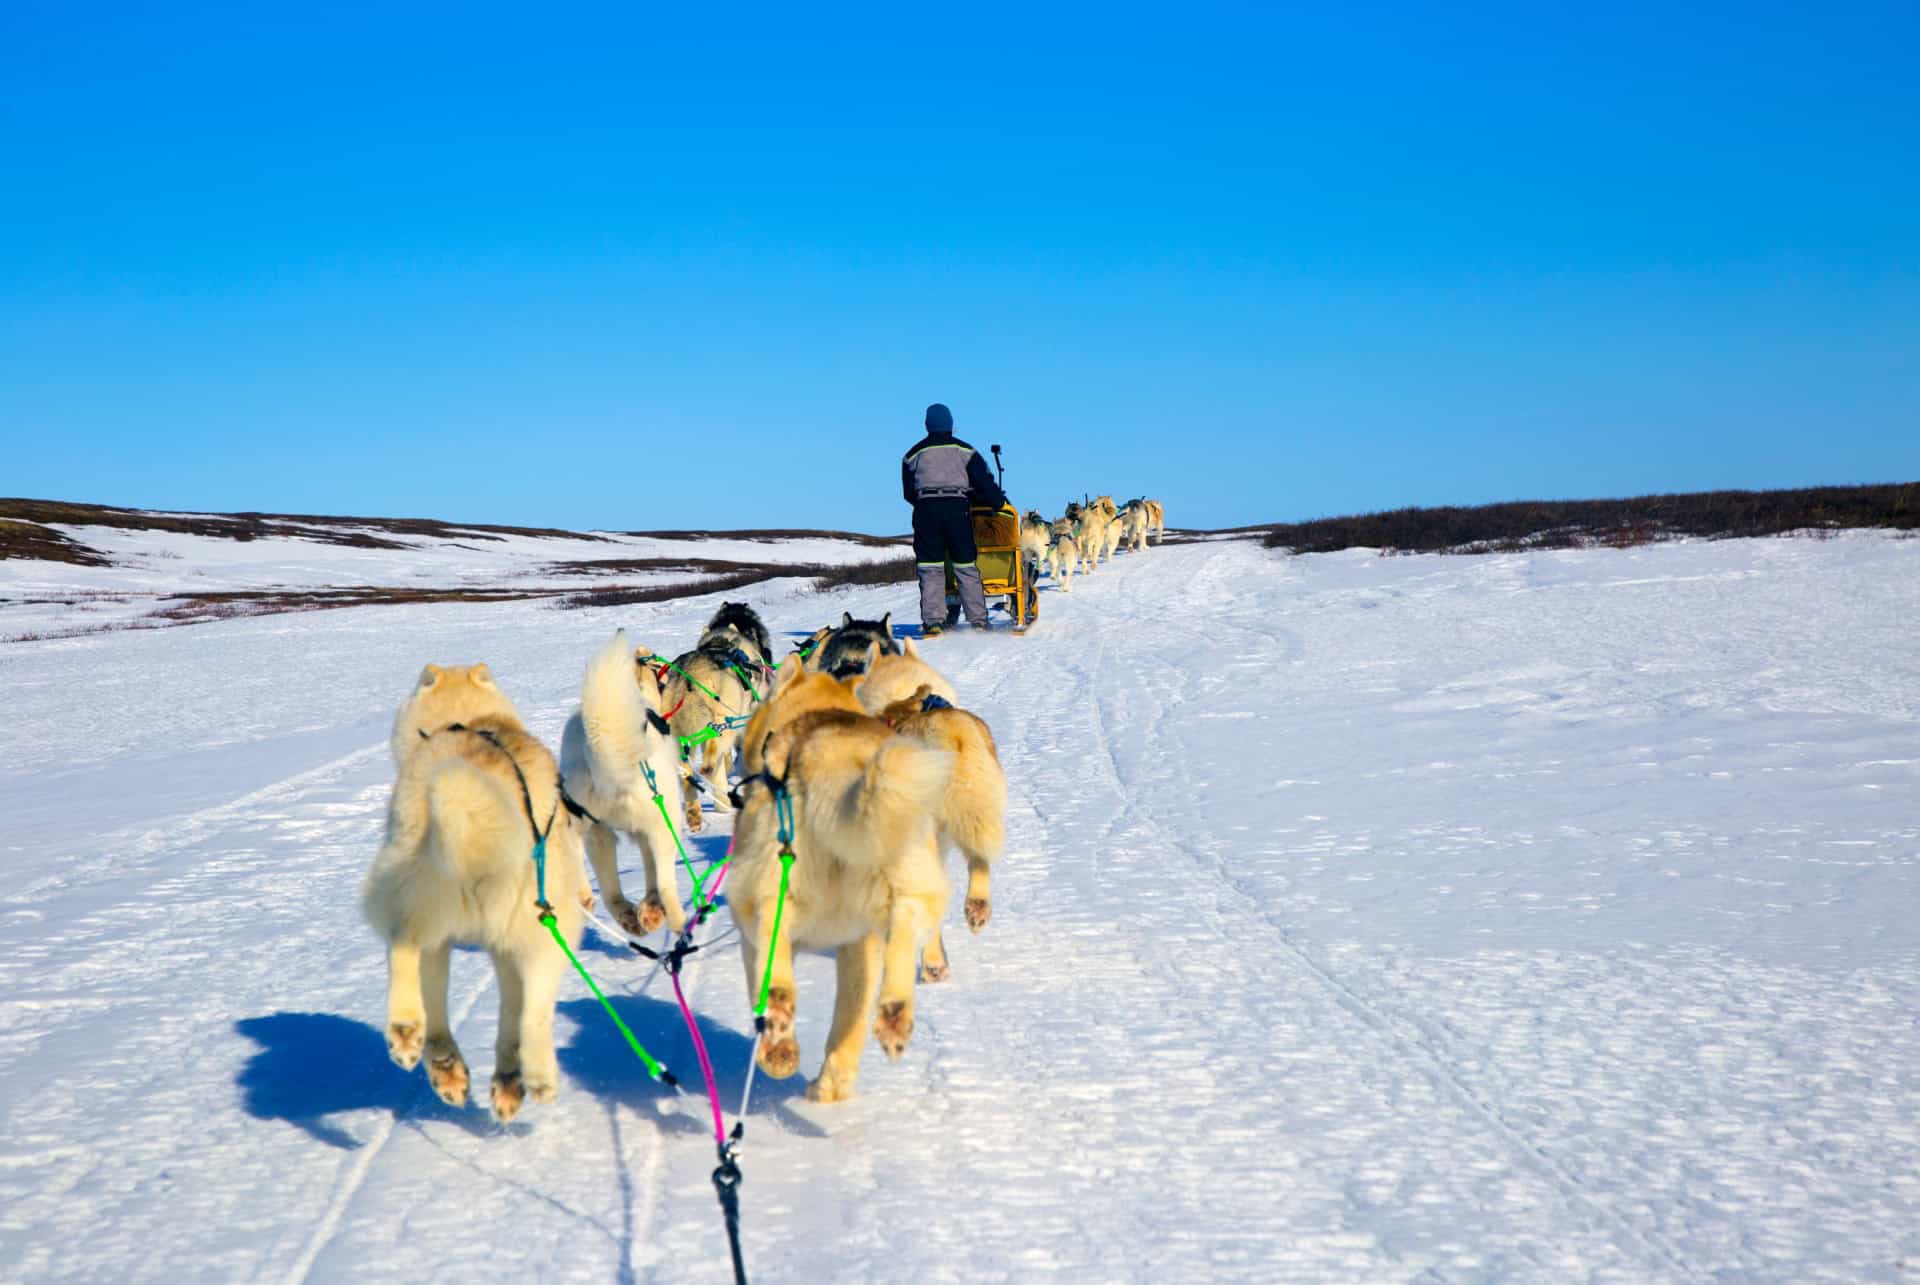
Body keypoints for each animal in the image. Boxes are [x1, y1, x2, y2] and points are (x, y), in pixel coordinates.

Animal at [362, 660, 587, 1121]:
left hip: (416, 890)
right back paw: (538, 1077)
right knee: (536, 1012)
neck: (467, 720)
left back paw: (412, 1035)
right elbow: (514, 1014)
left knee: (404, 947)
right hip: (548, 924)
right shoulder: (507, 945)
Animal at [560, 630, 691, 933]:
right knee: (666, 883)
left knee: (606, 890)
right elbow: (655, 876)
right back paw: (680, 921)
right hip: (665, 823)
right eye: (658, 669)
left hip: (593, 831)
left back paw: (605, 905)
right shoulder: (648, 831)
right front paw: (653, 908)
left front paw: (647, 910)